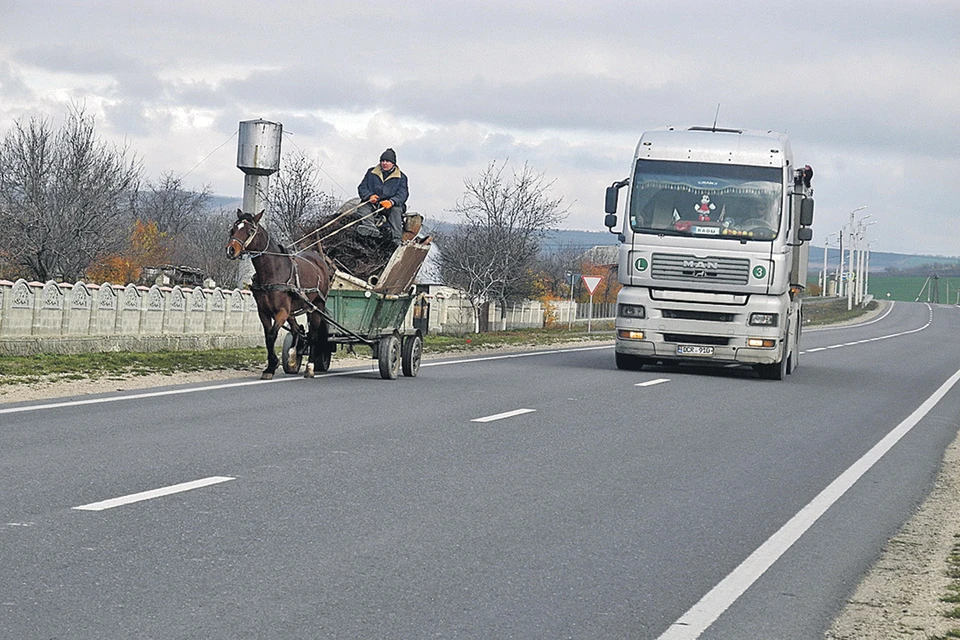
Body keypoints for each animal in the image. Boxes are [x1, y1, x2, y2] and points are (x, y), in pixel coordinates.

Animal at [225, 210, 334, 380]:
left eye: (250, 230)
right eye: (233, 229)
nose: (230, 250)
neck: (273, 271)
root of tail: (320, 260)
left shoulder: (281, 312)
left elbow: (272, 335)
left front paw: (272, 365)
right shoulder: (263, 312)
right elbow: (268, 337)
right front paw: (271, 365)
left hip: (317, 306)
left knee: (312, 336)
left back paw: (309, 368)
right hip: (296, 310)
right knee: (298, 330)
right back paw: (293, 358)